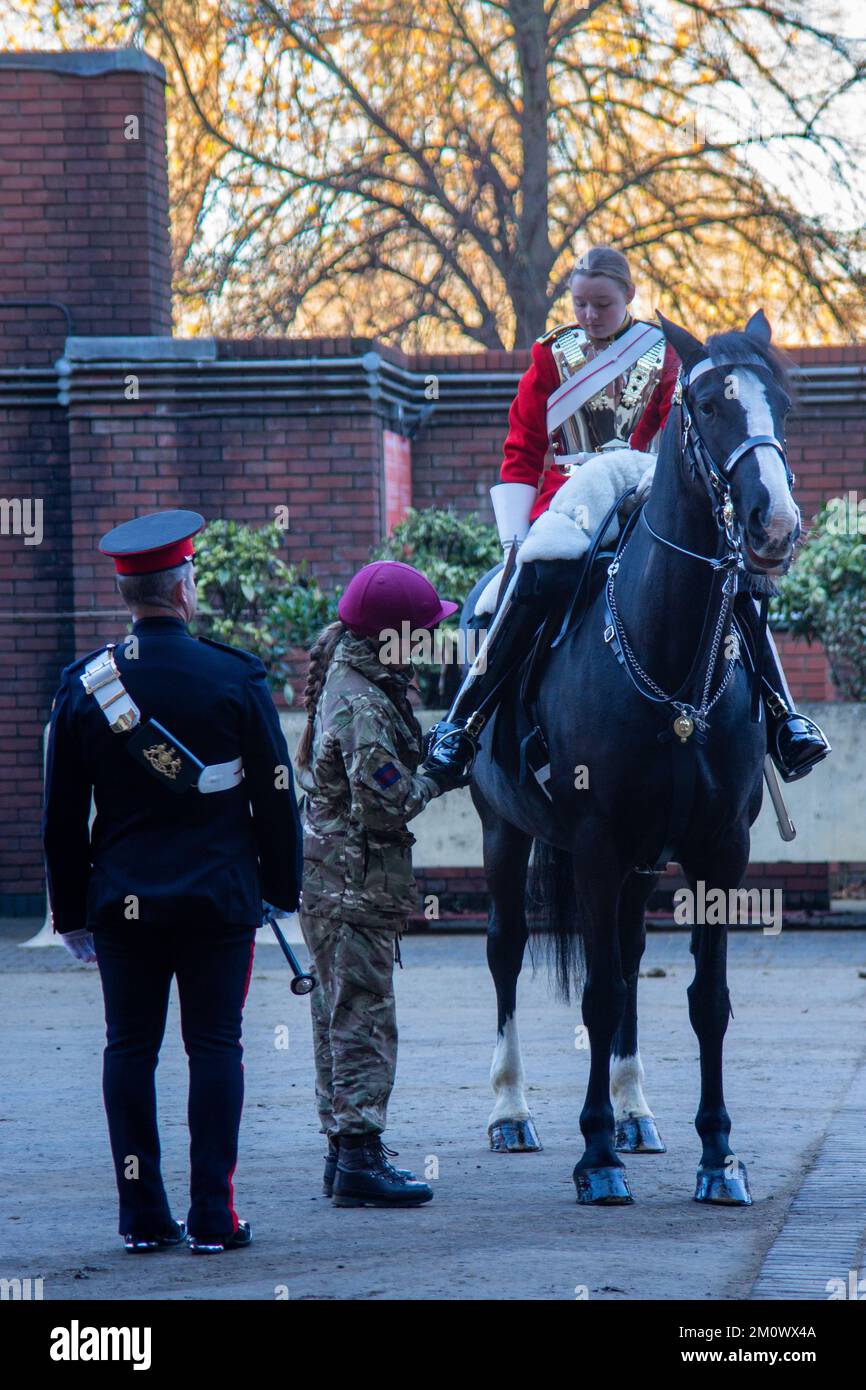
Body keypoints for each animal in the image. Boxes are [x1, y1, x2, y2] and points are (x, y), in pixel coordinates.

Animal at [467, 312, 800, 1206]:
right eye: (709, 404)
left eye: (782, 402)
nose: (775, 527)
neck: (667, 654)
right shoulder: (596, 843)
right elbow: (599, 990)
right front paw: (595, 1160)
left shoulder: (719, 850)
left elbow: (704, 999)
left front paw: (717, 1156)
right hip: (505, 830)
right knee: (508, 949)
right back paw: (513, 1112)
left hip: (639, 865)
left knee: (628, 954)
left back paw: (633, 1112)